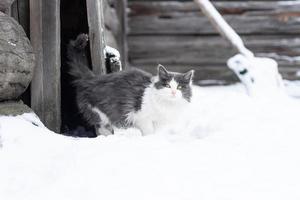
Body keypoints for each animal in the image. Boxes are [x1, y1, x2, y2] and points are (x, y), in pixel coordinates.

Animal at [67, 33, 195, 136]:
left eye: (179, 87)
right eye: (167, 86)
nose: (173, 92)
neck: (167, 106)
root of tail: (92, 78)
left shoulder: (159, 123)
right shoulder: (142, 118)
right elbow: (149, 133)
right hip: (100, 113)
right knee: (102, 128)